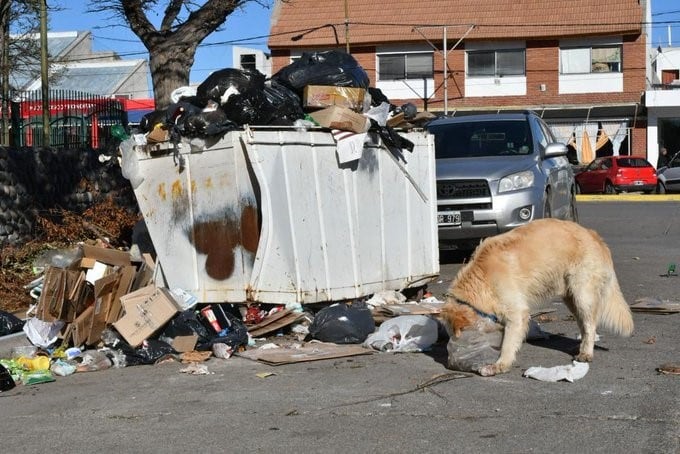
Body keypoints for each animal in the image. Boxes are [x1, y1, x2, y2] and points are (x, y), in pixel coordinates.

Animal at [438, 216, 636, 376]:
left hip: (582, 294)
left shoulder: (517, 314)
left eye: (459, 333)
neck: (482, 279)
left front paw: (500, 364)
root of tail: (594, 235)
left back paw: (586, 352)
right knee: (583, 323)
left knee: (590, 324)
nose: (453, 354)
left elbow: (508, 343)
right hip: (570, 297)